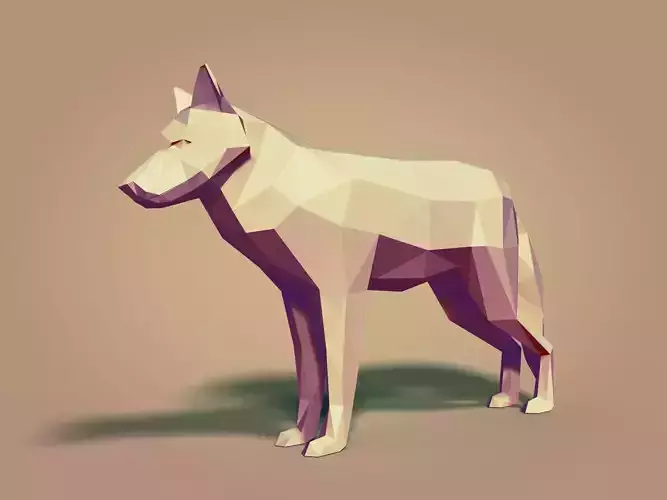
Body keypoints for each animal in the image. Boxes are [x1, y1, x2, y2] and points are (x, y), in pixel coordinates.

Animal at [119, 64, 555, 458]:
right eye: (165, 141)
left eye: (183, 143)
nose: (126, 186)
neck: (282, 190)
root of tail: (501, 184)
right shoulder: (298, 301)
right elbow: (310, 383)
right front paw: (299, 435)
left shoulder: (341, 300)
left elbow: (340, 380)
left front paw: (329, 444)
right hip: (465, 307)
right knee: (512, 344)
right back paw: (505, 398)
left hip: (494, 302)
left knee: (542, 344)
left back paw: (541, 403)